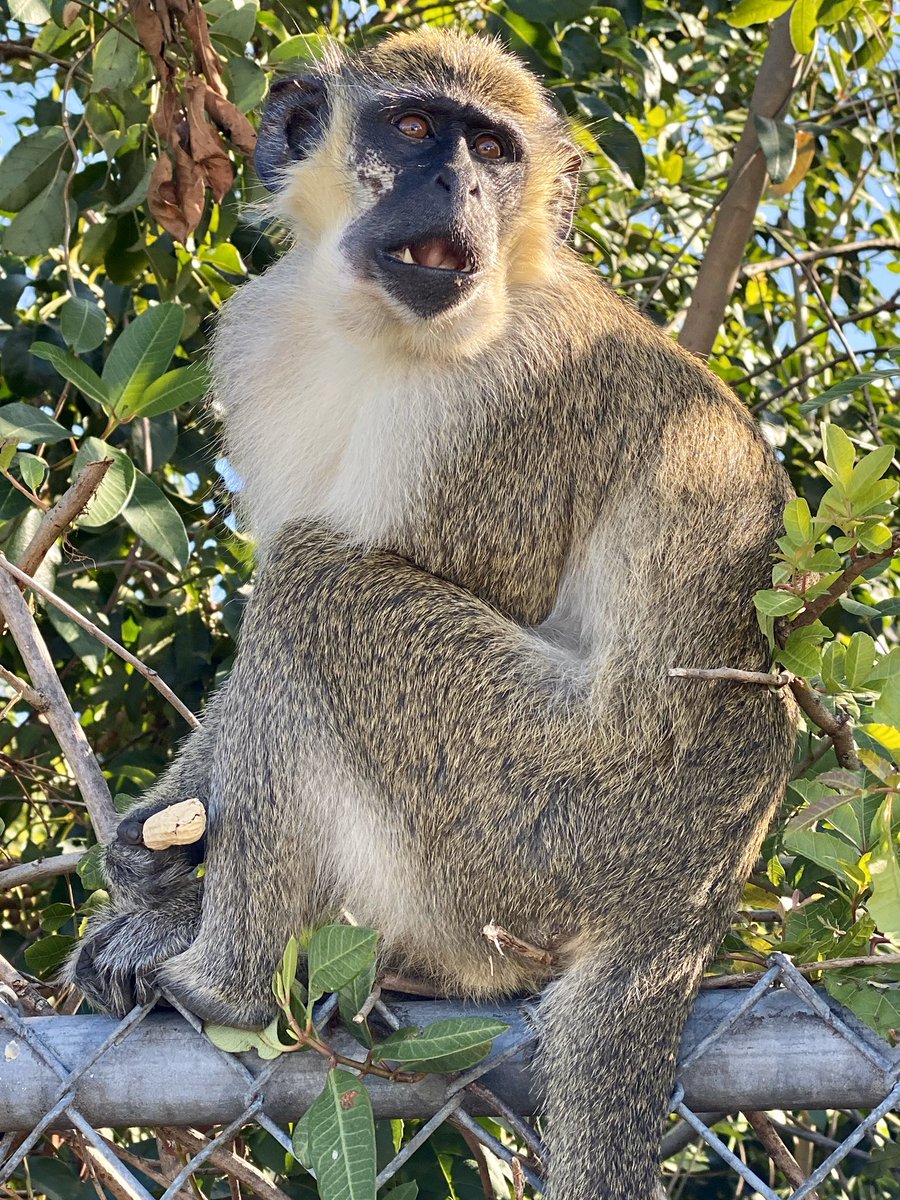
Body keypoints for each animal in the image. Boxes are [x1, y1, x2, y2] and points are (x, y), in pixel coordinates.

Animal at [66, 28, 797, 1200]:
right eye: (413, 127)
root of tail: (682, 909)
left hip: (533, 818)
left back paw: (223, 984)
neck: (369, 331)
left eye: (493, 150)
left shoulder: (514, 398)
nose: (459, 185)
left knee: (317, 587)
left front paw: (175, 912)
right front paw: (152, 854)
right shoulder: (255, 339)